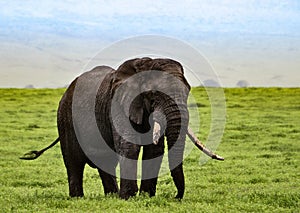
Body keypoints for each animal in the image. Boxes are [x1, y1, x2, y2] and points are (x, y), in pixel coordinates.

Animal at [20, 57, 223, 200]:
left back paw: (111, 196)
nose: (176, 197)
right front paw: (129, 198)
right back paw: (78, 198)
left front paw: (146, 197)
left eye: (188, 91)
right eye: (153, 94)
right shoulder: (118, 104)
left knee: (104, 161)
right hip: (65, 117)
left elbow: (154, 150)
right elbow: (129, 146)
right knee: (73, 161)